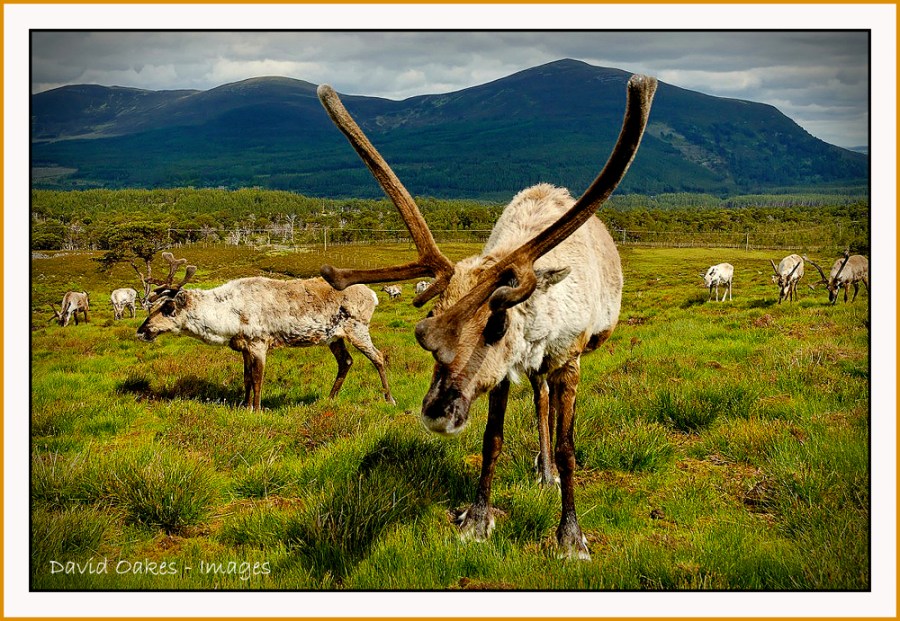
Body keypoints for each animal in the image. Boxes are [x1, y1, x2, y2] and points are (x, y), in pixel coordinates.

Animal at [136, 252, 395, 410]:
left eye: (167, 308)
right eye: (154, 306)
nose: (142, 330)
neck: (228, 313)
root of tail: (372, 295)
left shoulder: (259, 343)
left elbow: (258, 379)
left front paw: (257, 410)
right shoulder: (243, 346)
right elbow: (246, 379)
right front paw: (244, 405)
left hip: (357, 328)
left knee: (378, 357)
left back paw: (389, 398)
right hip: (334, 336)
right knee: (346, 361)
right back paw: (329, 399)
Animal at [316, 73, 657, 560]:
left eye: (497, 324)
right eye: (432, 313)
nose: (436, 413)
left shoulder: (568, 358)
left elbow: (569, 445)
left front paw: (571, 537)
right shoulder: (502, 373)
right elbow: (492, 439)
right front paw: (476, 520)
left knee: (550, 404)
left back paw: (550, 474)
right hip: (531, 371)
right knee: (539, 396)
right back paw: (543, 469)